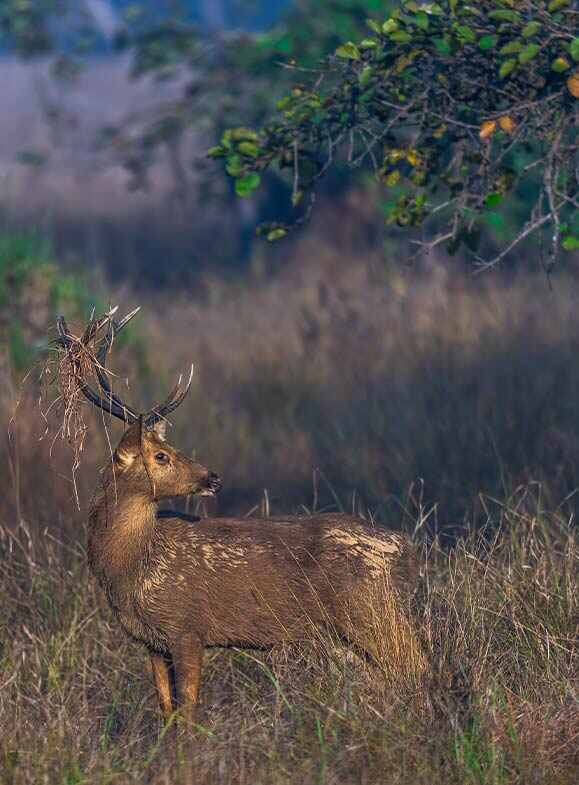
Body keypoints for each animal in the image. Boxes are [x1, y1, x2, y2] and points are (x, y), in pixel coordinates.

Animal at [56, 308, 424, 724]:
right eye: (161, 455)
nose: (212, 477)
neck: (129, 567)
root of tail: (406, 550)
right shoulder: (150, 641)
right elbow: (166, 710)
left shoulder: (188, 627)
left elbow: (187, 712)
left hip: (371, 608)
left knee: (416, 665)